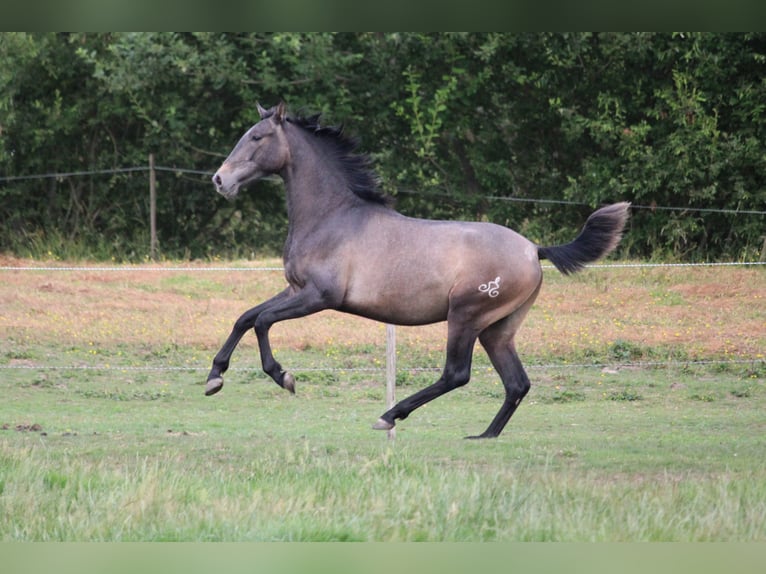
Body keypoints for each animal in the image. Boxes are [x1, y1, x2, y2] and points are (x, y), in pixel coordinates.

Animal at [207, 102, 630, 439]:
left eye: (257, 137)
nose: (219, 179)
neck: (333, 218)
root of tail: (533, 249)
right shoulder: (296, 289)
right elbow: (246, 317)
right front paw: (214, 378)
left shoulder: (319, 297)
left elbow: (263, 322)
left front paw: (284, 377)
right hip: (498, 329)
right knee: (516, 383)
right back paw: (484, 436)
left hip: (466, 317)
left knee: (456, 374)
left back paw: (390, 416)